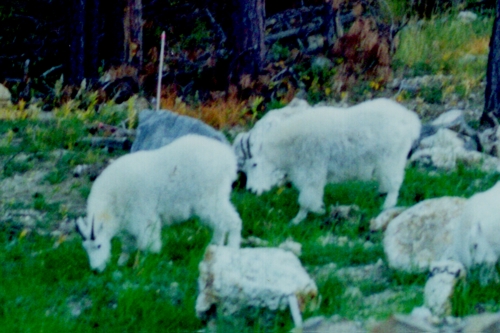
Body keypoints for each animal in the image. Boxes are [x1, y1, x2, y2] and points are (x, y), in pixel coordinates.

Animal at [74, 134, 244, 272]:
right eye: (85, 248)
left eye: (98, 245)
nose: (96, 270)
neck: (112, 202)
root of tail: (229, 159)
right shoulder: (128, 224)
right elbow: (127, 246)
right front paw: (121, 263)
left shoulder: (143, 219)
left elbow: (148, 245)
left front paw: (144, 265)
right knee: (220, 225)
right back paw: (215, 249)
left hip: (210, 199)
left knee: (233, 222)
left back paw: (233, 250)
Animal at [236, 98, 420, 223]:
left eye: (254, 164)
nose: (251, 190)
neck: (289, 145)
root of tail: (409, 120)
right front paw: (317, 210)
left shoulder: (312, 172)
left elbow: (306, 199)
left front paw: (299, 219)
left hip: (391, 157)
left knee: (395, 182)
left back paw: (387, 205)